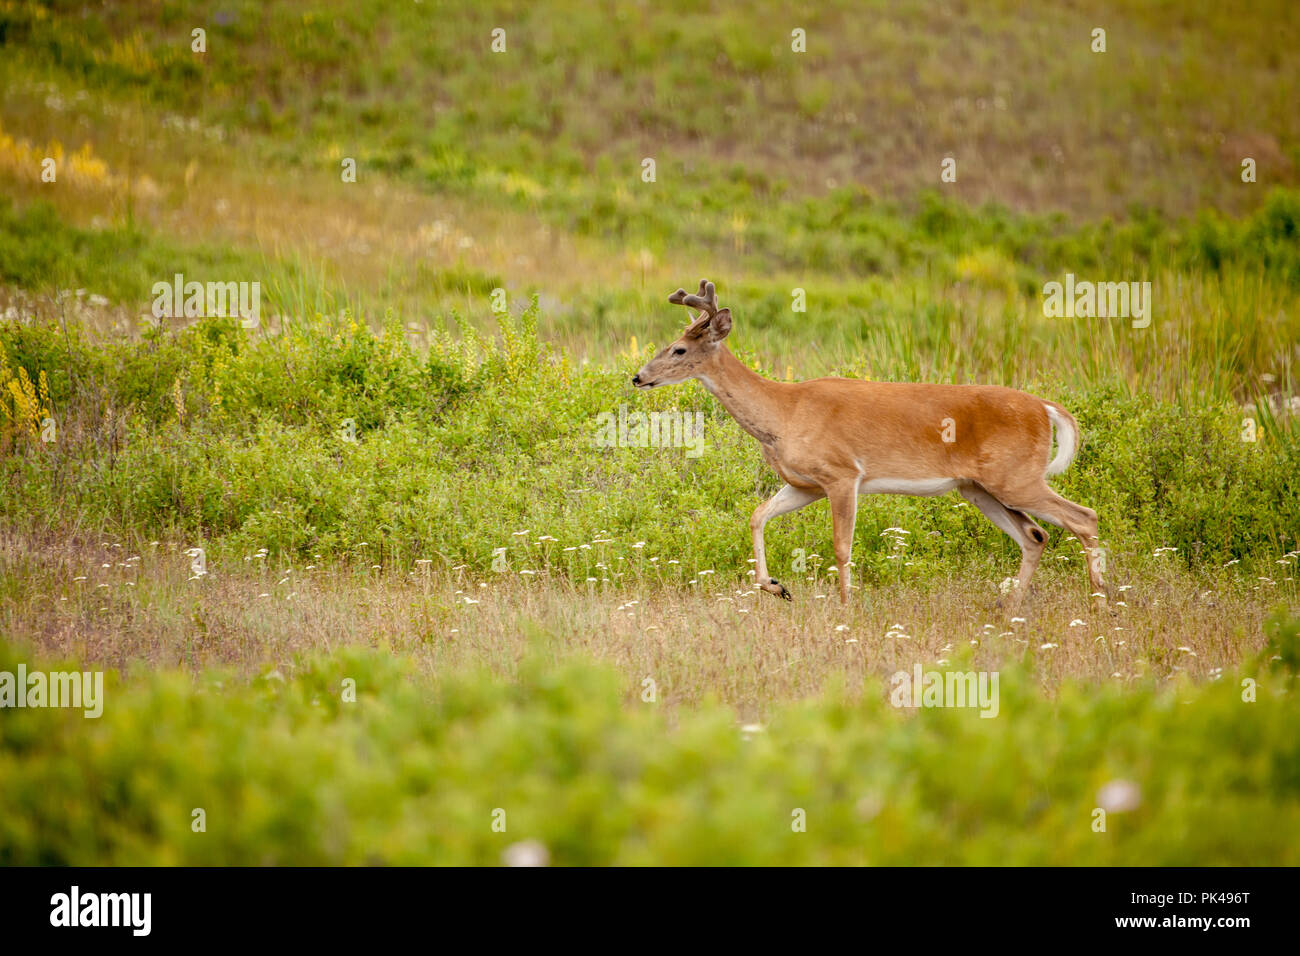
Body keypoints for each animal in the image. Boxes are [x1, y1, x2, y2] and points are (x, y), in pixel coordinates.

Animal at [632, 279, 1108, 610]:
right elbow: (757, 515)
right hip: (978, 488)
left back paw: (1101, 602)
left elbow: (842, 546)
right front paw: (777, 587)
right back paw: (1010, 605)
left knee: (1083, 517)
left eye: (677, 350)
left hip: (1016, 476)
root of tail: (1045, 407)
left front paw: (846, 607)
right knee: (1035, 535)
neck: (783, 412)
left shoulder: (844, 474)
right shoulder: (806, 483)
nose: (638, 377)